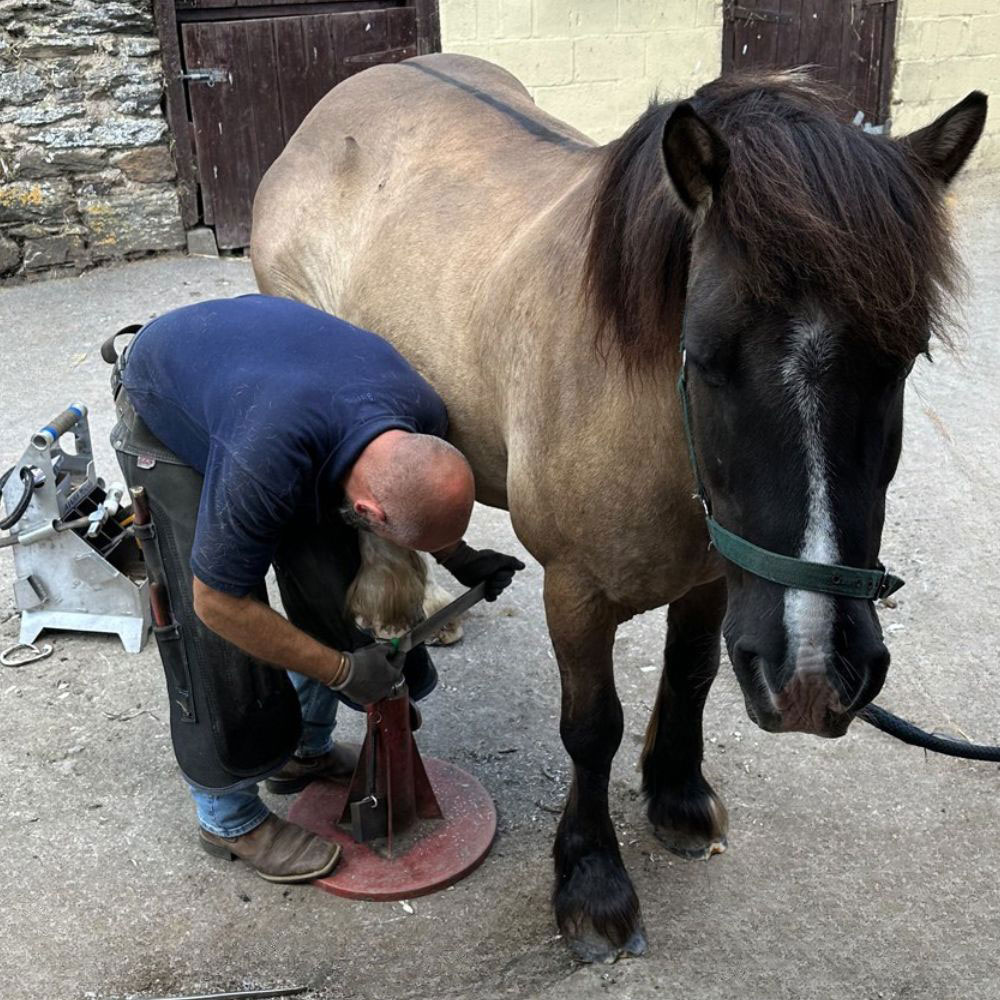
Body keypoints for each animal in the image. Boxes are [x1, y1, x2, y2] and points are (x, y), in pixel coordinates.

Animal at [251, 54, 986, 962]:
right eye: (706, 352)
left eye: (905, 355)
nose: (818, 673)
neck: (650, 420)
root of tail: (343, 98)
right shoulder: (576, 592)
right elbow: (592, 728)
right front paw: (592, 882)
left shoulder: (716, 580)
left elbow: (693, 675)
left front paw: (677, 795)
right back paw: (397, 608)